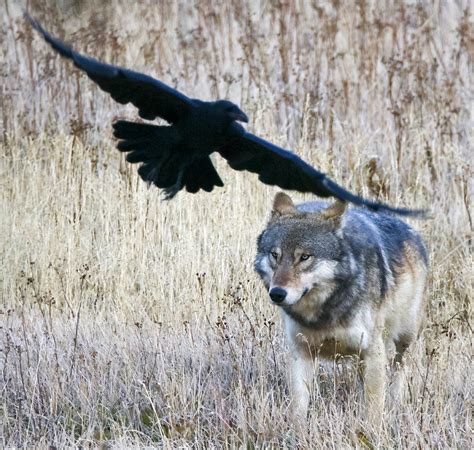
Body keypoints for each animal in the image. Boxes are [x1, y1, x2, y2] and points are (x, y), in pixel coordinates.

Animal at [256, 192, 430, 422]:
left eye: (304, 257)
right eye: (275, 255)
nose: (277, 293)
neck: (325, 312)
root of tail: (411, 230)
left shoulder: (373, 352)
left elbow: (374, 411)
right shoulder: (301, 352)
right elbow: (298, 410)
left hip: (405, 338)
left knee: (400, 368)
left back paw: (395, 404)